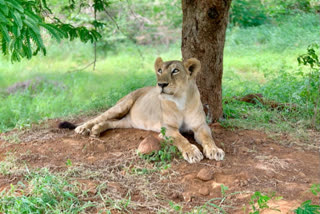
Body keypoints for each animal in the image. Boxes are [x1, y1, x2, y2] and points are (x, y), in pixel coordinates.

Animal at [60, 57, 225, 163]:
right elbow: (181, 139)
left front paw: (215, 150)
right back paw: (83, 128)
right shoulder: (168, 128)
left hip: (127, 122)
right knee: (99, 117)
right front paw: (192, 152)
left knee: (111, 122)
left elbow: (208, 138)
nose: (161, 84)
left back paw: (96, 130)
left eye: (175, 71)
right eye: (160, 70)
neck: (180, 100)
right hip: (122, 105)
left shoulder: (200, 126)